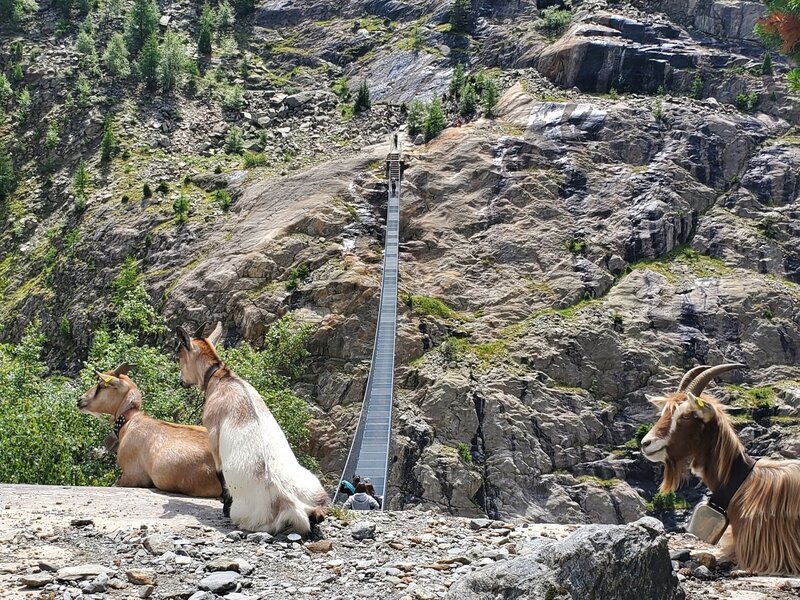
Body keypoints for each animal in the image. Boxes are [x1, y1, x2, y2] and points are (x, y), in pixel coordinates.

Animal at [176, 324, 328, 536]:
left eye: (178, 356)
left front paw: (223, 508)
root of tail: (292, 505)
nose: (181, 381)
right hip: (314, 485)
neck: (222, 379)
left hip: (245, 515)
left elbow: (219, 473)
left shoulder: (213, 434)